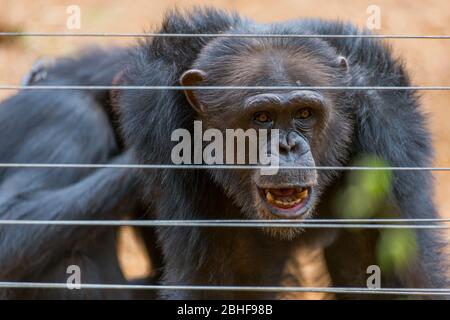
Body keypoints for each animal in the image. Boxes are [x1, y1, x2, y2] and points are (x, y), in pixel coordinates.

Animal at [114, 8, 448, 298]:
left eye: (305, 113)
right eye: (262, 118)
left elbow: (390, 273)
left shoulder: (389, 127)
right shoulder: (160, 124)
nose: (287, 147)